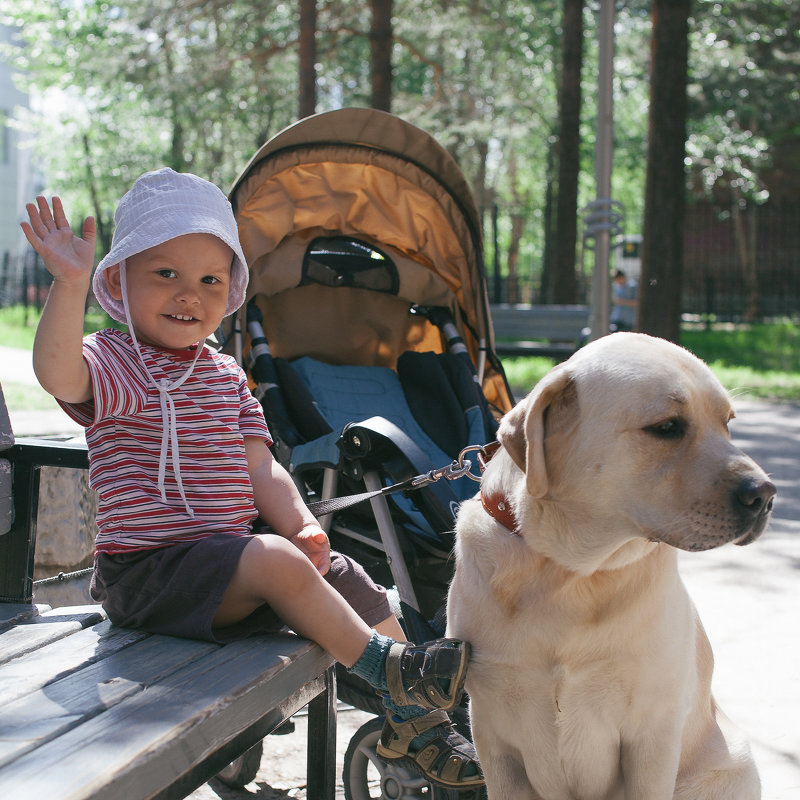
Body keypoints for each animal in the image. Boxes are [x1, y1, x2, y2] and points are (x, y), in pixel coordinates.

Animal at [446, 332, 772, 800]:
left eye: (728, 423)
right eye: (667, 427)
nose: (765, 494)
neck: (570, 572)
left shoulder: (652, 733)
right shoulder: (491, 734)